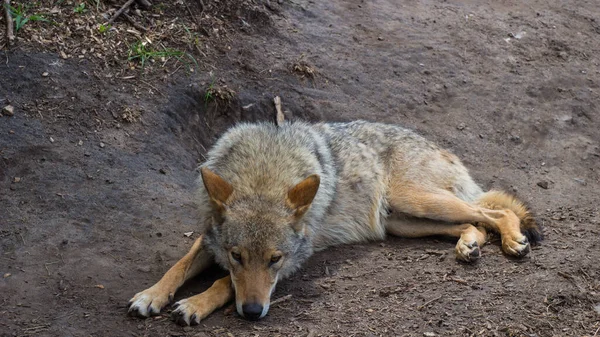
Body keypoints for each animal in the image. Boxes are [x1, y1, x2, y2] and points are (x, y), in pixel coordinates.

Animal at [127, 119, 544, 324]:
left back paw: (513, 241)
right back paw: (469, 245)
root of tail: (441, 147)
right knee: (477, 223)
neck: (264, 174)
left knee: (496, 211)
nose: (252, 314)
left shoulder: (297, 257)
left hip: (416, 201)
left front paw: (195, 304)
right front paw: (151, 295)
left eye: (275, 260)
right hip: (401, 221)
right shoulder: (209, 237)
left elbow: (221, 283)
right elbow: (179, 267)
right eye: (236, 256)